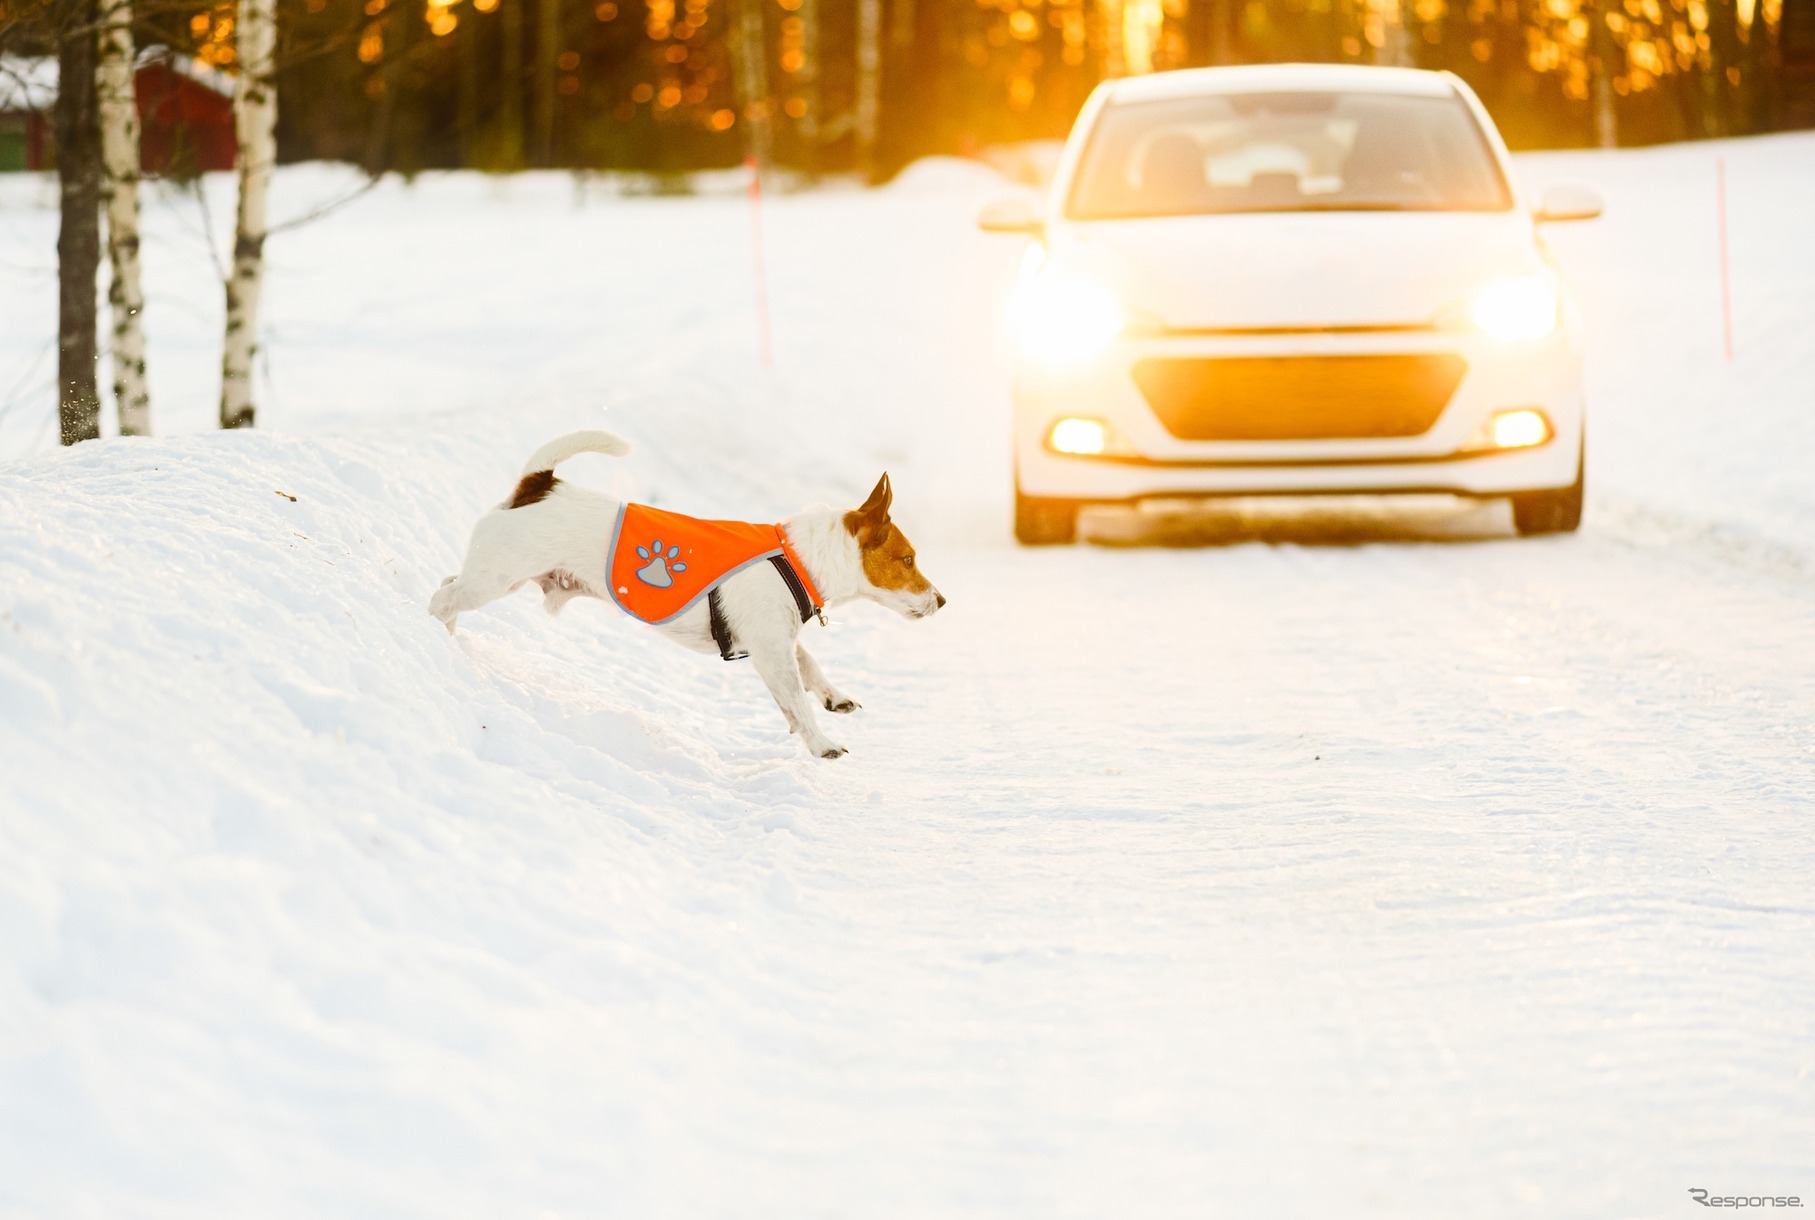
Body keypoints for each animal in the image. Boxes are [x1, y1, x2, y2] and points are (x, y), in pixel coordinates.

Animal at [422, 426, 936, 751]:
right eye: (909, 560)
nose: (943, 599)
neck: (797, 557)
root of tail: (539, 484)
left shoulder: (776, 641)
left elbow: (809, 669)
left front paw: (833, 697)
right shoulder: (771, 651)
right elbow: (796, 696)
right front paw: (820, 742)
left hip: (493, 576)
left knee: (448, 587)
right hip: (495, 577)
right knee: (442, 598)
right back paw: (427, 631)